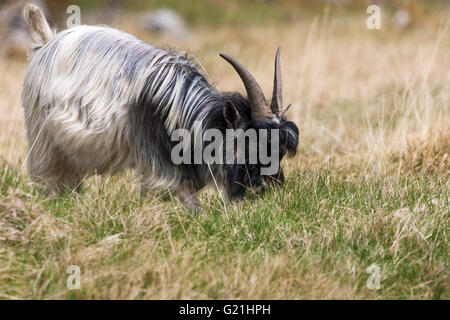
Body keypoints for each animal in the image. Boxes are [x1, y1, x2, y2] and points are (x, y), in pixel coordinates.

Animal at [22, 5, 300, 210]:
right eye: (249, 142)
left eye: (280, 151)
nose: (266, 188)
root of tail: (47, 41)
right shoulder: (160, 163)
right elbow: (187, 199)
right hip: (43, 139)